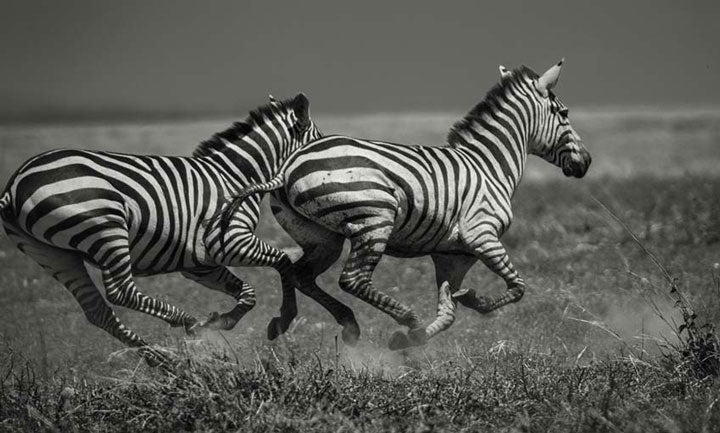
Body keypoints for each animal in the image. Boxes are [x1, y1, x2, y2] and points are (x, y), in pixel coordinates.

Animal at [0, 93, 329, 365]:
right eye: (320, 144)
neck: (235, 176)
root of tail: (15, 186)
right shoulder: (230, 241)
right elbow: (282, 263)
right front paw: (283, 319)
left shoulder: (200, 264)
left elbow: (247, 293)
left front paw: (221, 322)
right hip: (106, 227)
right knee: (121, 292)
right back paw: (186, 323)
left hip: (50, 253)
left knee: (97, 310)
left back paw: (163, 359)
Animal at [224, 60, 592, 350]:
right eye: (564, 113)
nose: (586, 162)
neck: (489, 165)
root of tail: (287, 165)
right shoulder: (482, 235)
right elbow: (517, 288)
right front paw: (474, 301)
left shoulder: (452, 255)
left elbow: (449, 313)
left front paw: (412, 340)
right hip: (375, 218)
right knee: (353, 279)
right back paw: (405, 317)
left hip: (322, 236)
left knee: (300, 274)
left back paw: (310, 322)